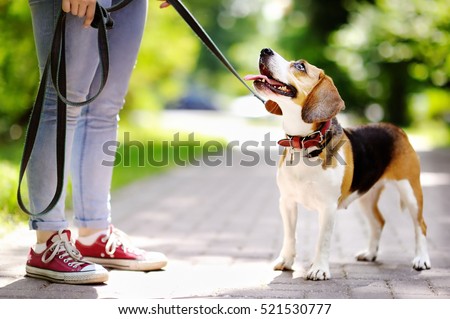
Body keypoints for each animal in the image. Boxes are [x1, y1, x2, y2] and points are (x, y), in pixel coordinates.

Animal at [244, 48, 430, 282]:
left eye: (300, 66)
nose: (265, 50)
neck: (304, 143)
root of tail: (396, 129)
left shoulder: (328, 207)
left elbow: (322, 241)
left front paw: (319, 269)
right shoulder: (286, 202)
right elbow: (290, 236)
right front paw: (286, 261)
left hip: (410, 191)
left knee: (420, 225)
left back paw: (421, 259)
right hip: (366, 196)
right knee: (378, 222)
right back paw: (370, 253)